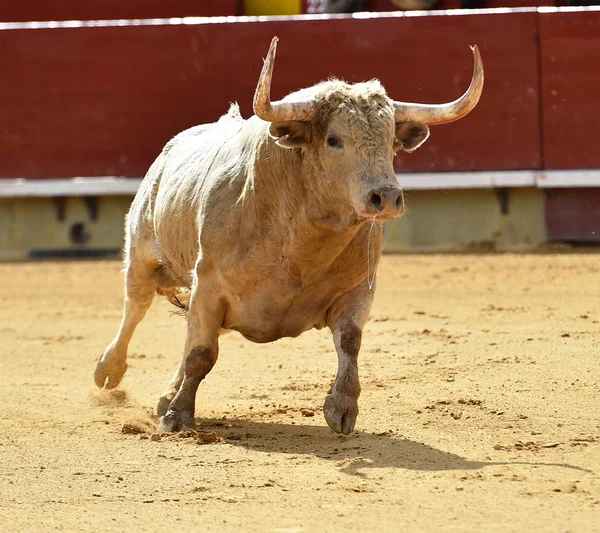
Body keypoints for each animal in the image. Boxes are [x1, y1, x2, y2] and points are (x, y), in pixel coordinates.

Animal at [95, 38, 482, 436]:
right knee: (136, 306)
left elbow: (350, 341)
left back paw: (164, 393)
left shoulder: (358, 288)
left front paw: (342, 407)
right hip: (142, 250)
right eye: (333, 139)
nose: (386, 196)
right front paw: (178, 415)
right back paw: (109, 372)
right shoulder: (208, 284)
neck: (302, 242)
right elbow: (201, 354)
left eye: (392, 141)